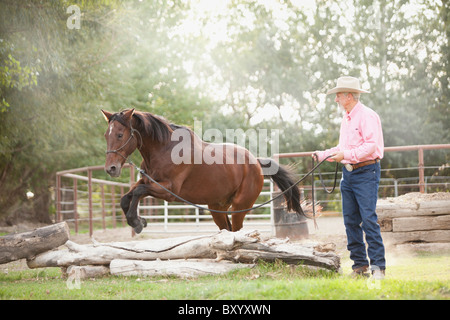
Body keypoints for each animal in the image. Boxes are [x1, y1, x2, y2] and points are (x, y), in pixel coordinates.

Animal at [101, 109, 304, 234]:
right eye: (106, 135)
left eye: (120, 135)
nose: (111, 168)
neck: (164, 150)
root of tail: (256, 162)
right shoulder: (148, 182)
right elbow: (126, 197)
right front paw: (137, 220)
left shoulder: (169, 191)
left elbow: (137, 192)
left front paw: (137, 222)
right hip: (217, 208)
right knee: (227, 229)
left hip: (240, 206)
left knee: (237, 230)